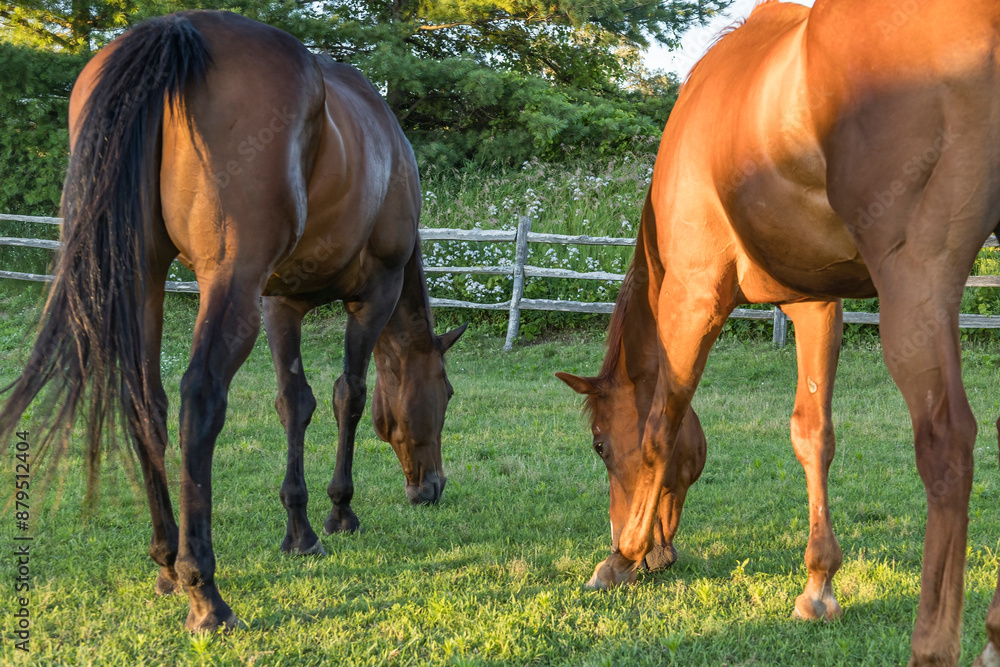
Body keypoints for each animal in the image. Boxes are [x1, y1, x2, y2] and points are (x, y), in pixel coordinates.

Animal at [0, 10, 465, 633]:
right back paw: (205, 592)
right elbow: (349, 395)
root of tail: (174, 31)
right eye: (447, 392)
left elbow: (295, 402)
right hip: (229, 284)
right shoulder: (372, 295)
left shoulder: (280, 302)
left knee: (146, 403)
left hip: (144, 278)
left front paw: (300, 530)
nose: (432, 487)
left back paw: (167, 563)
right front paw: (340, 511)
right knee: (199, 399)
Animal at [558, 1, 1000, 664]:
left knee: (948, 443)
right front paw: (817, 586)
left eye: (600, 446)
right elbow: (813, 435)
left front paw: (620, 558)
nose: (654, 553)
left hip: (916, 283)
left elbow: (662, 426)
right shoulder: (816, 304)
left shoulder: (694, 295)